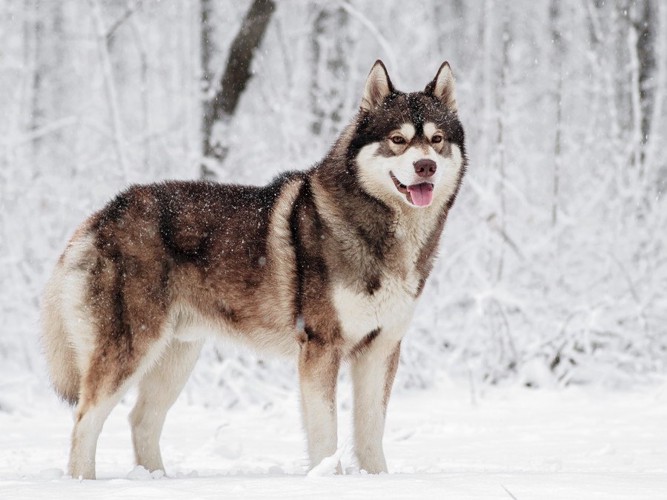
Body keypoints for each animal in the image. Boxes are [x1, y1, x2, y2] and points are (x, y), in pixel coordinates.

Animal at [41, 60, 468, 478]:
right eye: (397, 140)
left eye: (436, 140)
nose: (426, 166)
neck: (382, 232)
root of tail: (102, 215)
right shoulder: (321, 347)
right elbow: (326, 436)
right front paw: (329, 482)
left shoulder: (381, 350)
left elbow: (370, 434)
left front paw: (377, 482)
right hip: (131, 350)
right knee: (85, 421)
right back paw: (83, 483)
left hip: (177, 356)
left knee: (141, 420)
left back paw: (157, 482)